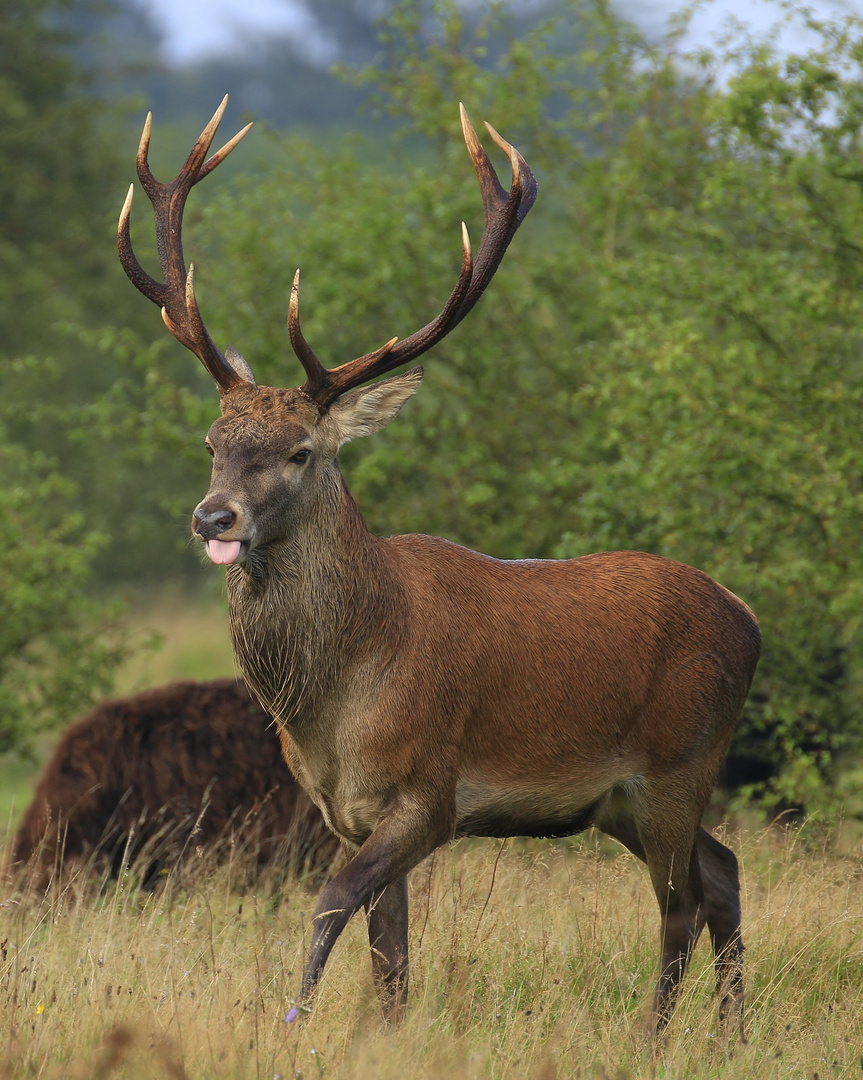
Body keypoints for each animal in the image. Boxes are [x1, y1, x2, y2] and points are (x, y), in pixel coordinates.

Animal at [119, 101, 764, 1036]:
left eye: (299, 450)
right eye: (213, 444)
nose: (214, 517)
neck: (338, 695)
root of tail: (749, 620)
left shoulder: (429, 790)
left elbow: (331, 903)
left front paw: (291, 1022)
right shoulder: (349, 812)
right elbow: (389, 950)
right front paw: (376, 1036)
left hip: (681, 760)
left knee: (678, 904)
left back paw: (653, 1040)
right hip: (621, 800)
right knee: (724, 873)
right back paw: (731, 1031)